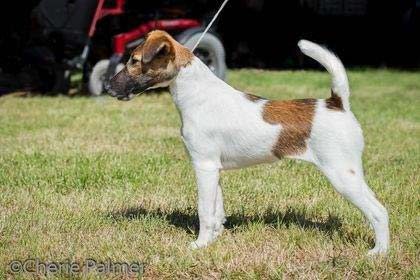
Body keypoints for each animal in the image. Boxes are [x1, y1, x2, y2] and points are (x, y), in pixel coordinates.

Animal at [106, 30, 388, 254]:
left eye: (134, 61)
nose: (108, 88)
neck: (198, 94)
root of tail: (337, 103)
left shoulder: (203, 166)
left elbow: (204, 211)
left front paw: (198, 245)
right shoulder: (214, 169)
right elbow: (216, 210)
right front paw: (213, 240)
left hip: (342, 174)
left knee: (379, 211)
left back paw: (379, 253)